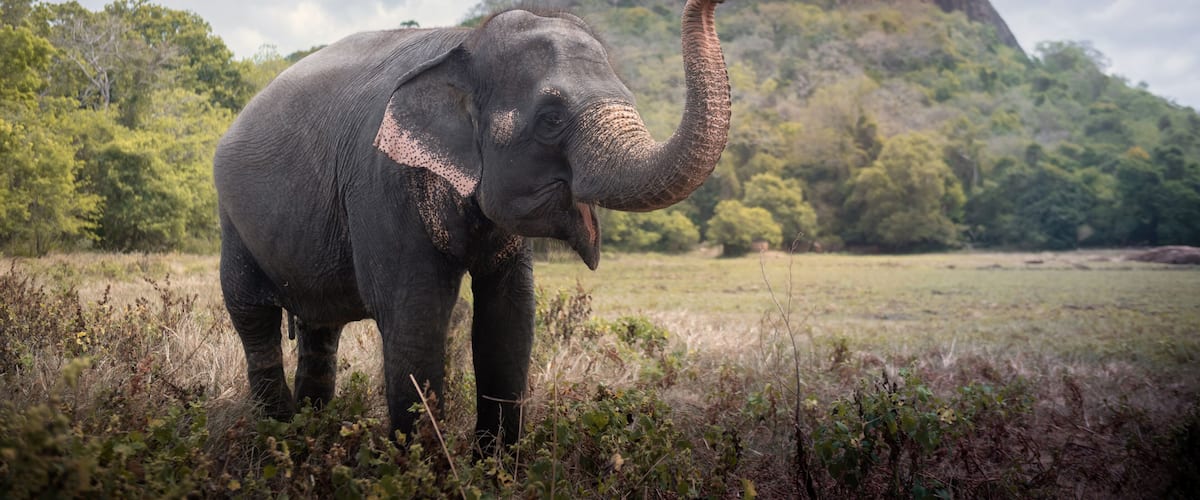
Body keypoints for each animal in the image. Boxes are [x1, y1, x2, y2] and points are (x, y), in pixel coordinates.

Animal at [213, 0, 730, 450]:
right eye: (551, 119)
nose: (711, 3)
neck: (464, 44)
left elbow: (509, 317)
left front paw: (495, 467)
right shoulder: (382, 183)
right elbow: (415, 318)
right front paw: (421, 467)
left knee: (320, 330)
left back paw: (307, 438)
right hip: (232, 221)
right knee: (253, 317)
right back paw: (276, 437)